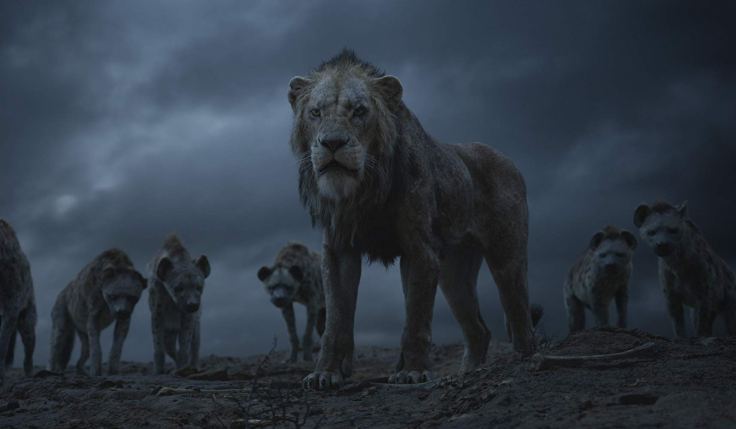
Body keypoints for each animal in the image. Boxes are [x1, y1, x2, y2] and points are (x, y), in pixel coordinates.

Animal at [288, 50, 535, 390]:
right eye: (315, 112)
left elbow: (416, 317)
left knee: (519, 311)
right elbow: (335, 321)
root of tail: (509, 160)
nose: (333, 143)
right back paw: (468, 373)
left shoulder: (419, 249)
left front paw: (413, 372)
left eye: (359, 111)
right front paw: (325, 373)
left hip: (505, 256)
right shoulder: (338, 250)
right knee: (479, 330)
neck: (363, 190)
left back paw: (522, 361)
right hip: (454, 274)